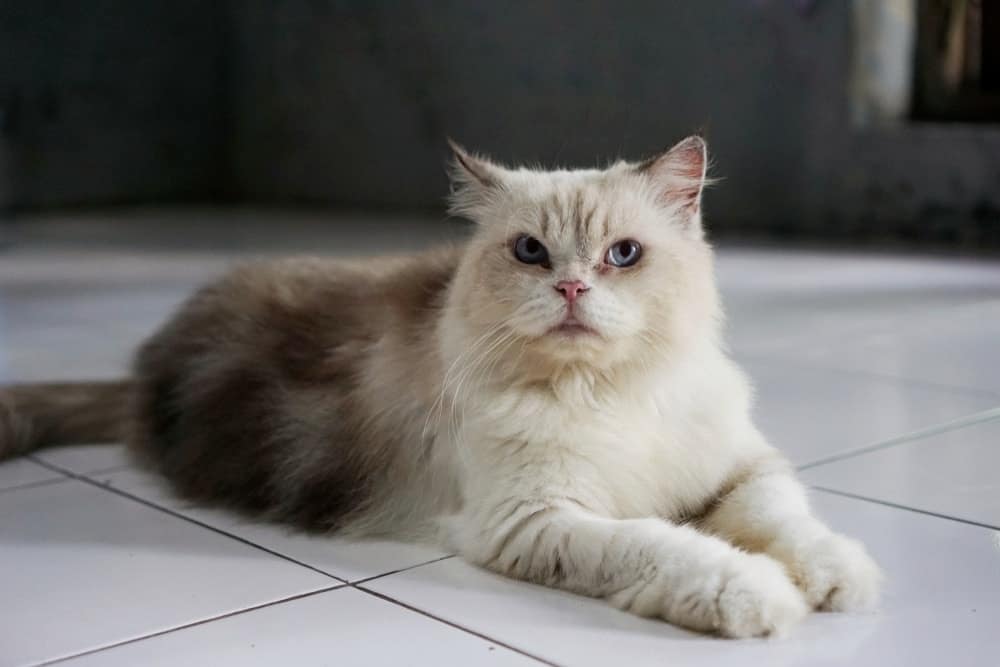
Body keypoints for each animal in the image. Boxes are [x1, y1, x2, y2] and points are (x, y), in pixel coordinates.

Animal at [0, 134, 880, 636]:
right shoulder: (536, 519)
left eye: (623, 256)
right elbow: (670, 548)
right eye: (530, 251)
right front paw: (757, 595)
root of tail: (145, 365)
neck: (603, 393)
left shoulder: (741, 467)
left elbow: (789, 521)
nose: (570, 288)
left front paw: (839, 578)